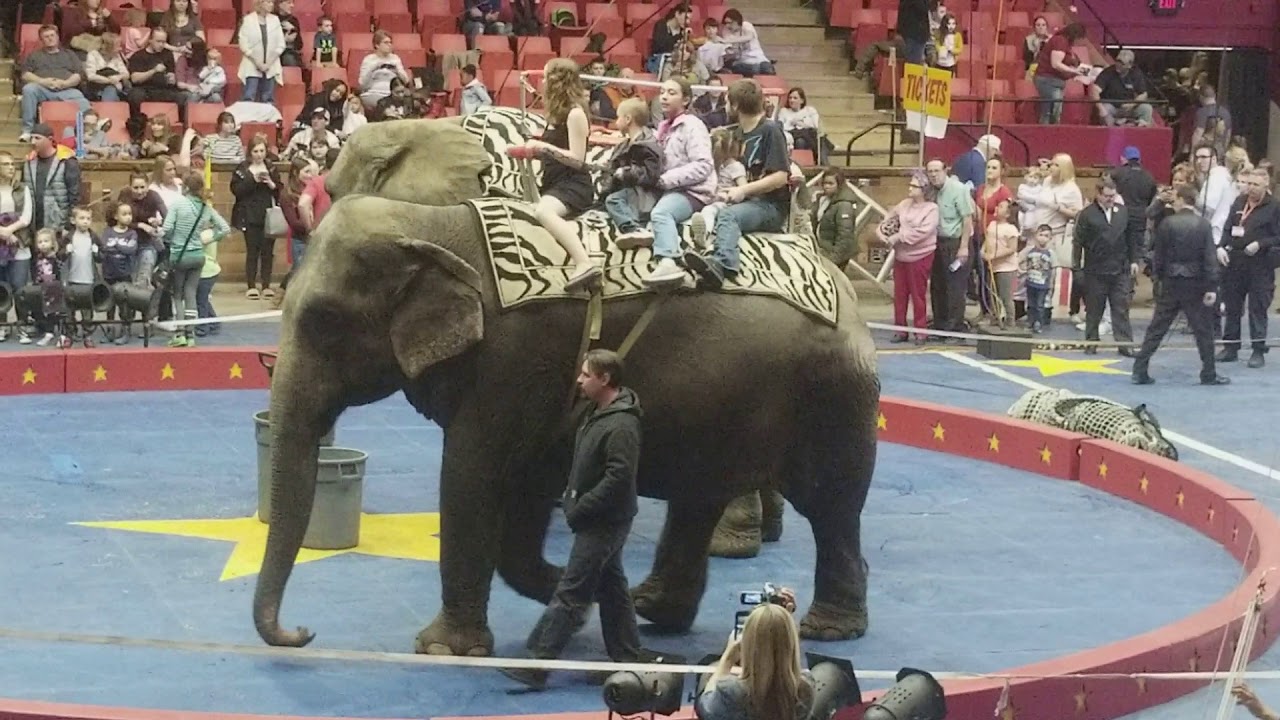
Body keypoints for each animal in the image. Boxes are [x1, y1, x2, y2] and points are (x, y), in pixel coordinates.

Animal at [252, 116, 881, 657]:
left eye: (324, 321)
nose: (302, 633)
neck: (433, 226)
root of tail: (847, 295)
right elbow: (526, 479)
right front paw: (583, 594)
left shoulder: (520, 352)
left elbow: (472, 471)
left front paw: (443, 649)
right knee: (700, 493)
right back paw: (654, 608)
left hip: (832, 395)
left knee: (831, 504)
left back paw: (827, 627)